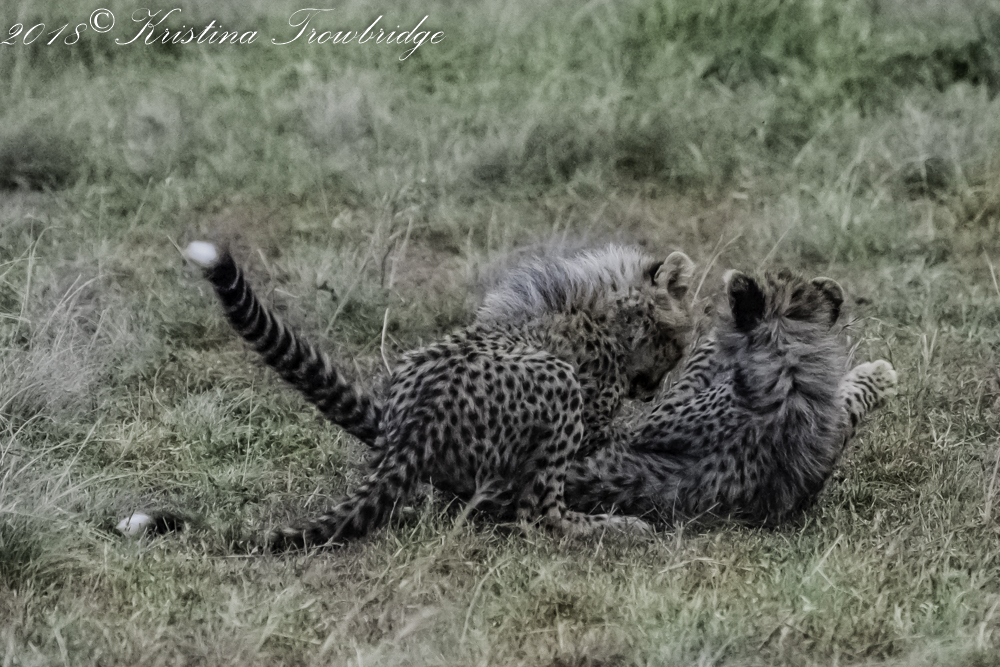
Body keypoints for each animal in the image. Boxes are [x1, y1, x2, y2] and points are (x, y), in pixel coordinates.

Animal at [184, 241, 696, 548]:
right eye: (680, 343)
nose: (652, 391)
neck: (609, 312)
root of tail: (412, 432)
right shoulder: (590, 416)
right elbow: (610, 437)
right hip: (558, 383)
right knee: (537, 514)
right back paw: (615, 527)